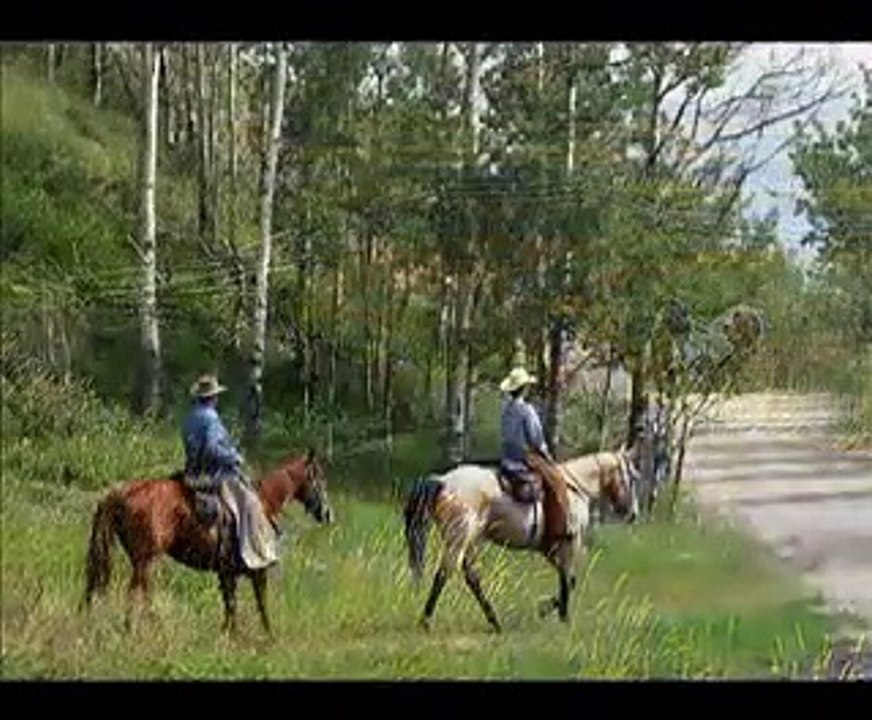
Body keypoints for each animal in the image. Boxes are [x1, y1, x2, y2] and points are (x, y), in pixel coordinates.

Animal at [82, 448, 333, 636]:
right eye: (319, 477)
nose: (328, 514)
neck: (264, 502)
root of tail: (120, 493)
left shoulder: (227, 572)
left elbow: (230, 604)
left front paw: (230, 633)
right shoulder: (257, 570)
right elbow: (260, 603)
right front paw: (268, 636)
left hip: (141, 561)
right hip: (145, 559)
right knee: (137, 591)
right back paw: (140, 626)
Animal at [402, 448, 640, 633]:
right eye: (631, 479)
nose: (633, 514)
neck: (575, 486)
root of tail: (442, 481)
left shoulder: (551, 550)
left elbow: (568, 581)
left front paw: (547, 610)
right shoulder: (569, 543)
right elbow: (567, 582)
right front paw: (560, 616)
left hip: (470, 540)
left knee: (470, 576)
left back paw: (494, 621)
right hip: (459, 537)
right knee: (443, 575)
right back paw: (426, 621)